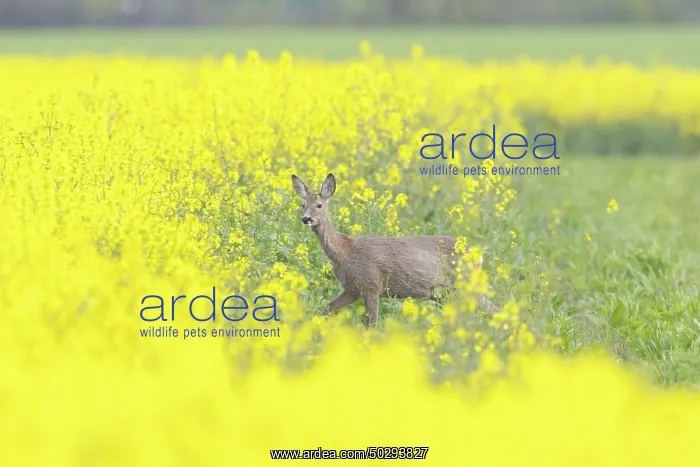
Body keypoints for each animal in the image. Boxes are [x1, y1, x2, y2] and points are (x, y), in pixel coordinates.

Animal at [291, 172, 499, 328]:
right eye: (303, 204)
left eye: (319, 205)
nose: (306, 219)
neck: (344, 251)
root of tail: (479, 254)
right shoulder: (352, 289)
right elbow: (326, 308)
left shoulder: (371, 286)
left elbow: (371, 325)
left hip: (463, 285)